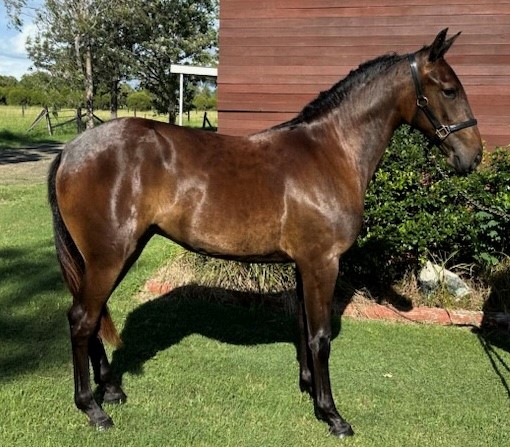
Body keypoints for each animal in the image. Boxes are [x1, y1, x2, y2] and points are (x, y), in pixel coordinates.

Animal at [48, 29, 482, 437]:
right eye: (449, 89)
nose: (473, 156)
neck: (330, 152)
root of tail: (71, 151)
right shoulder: (322, 262)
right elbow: (320, 336)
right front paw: (332, 415)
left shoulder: (305, 265)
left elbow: (304, 326)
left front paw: (309, 388)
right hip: (109, 255)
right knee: (82, 318)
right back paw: (93, 408)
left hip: (116, 254)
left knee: (92, 316)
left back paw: (112, 390)